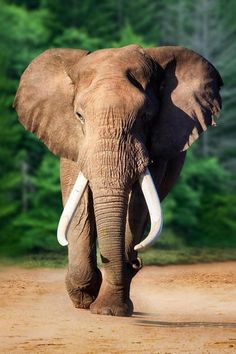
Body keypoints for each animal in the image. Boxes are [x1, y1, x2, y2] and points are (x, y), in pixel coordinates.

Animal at [13, 42, 222, 316]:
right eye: (79, 115)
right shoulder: (72, 140)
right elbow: (79, 202)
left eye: (146, 117)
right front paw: (84, 297)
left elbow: (137, 207)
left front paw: (109, 310)